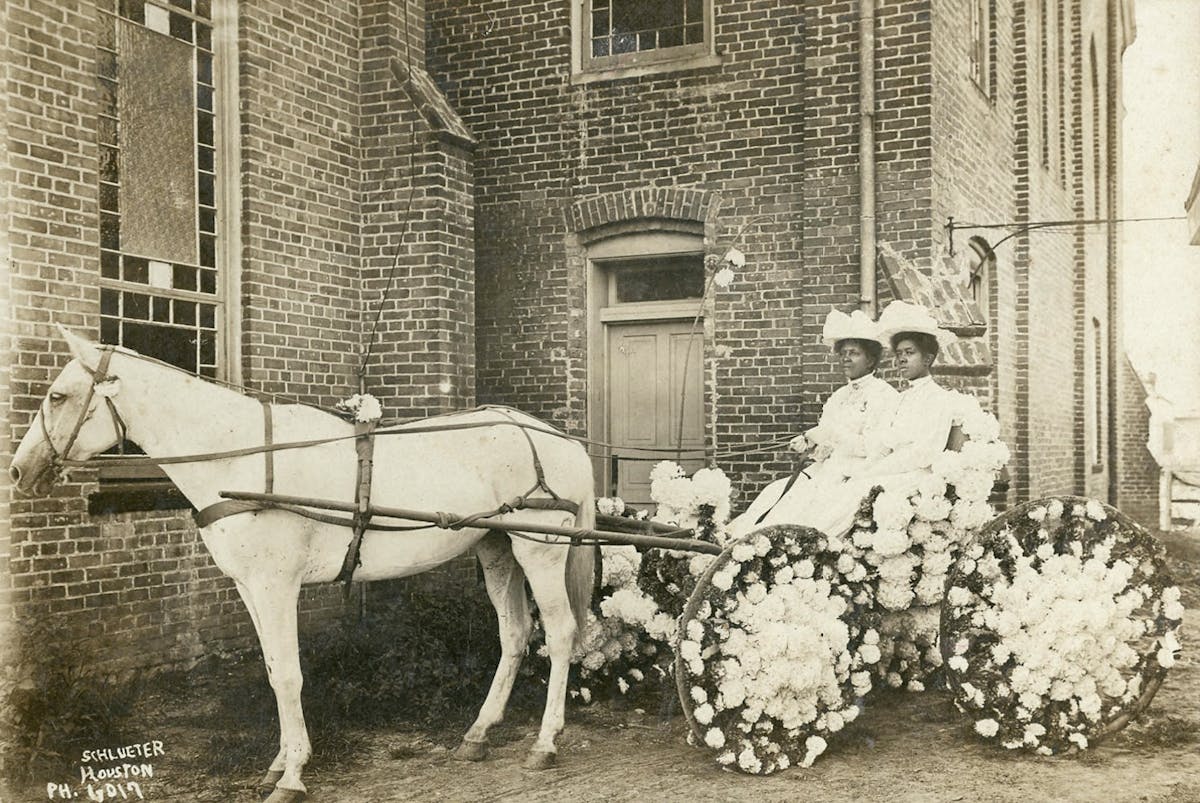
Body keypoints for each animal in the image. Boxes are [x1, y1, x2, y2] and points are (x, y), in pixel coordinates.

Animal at [4, 326, 595, 801]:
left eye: (58, 395)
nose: (18, 471)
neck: (239, 457)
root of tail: (558, 438)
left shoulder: (276, 585)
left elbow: (289, 674)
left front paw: (291, 777)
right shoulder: (248, 587)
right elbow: (271, 670)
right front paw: (279, 762)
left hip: (539, 548)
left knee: (559, 631)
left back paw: (545, 743)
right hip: (497, 549)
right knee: (514, 633)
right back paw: (478, 733)